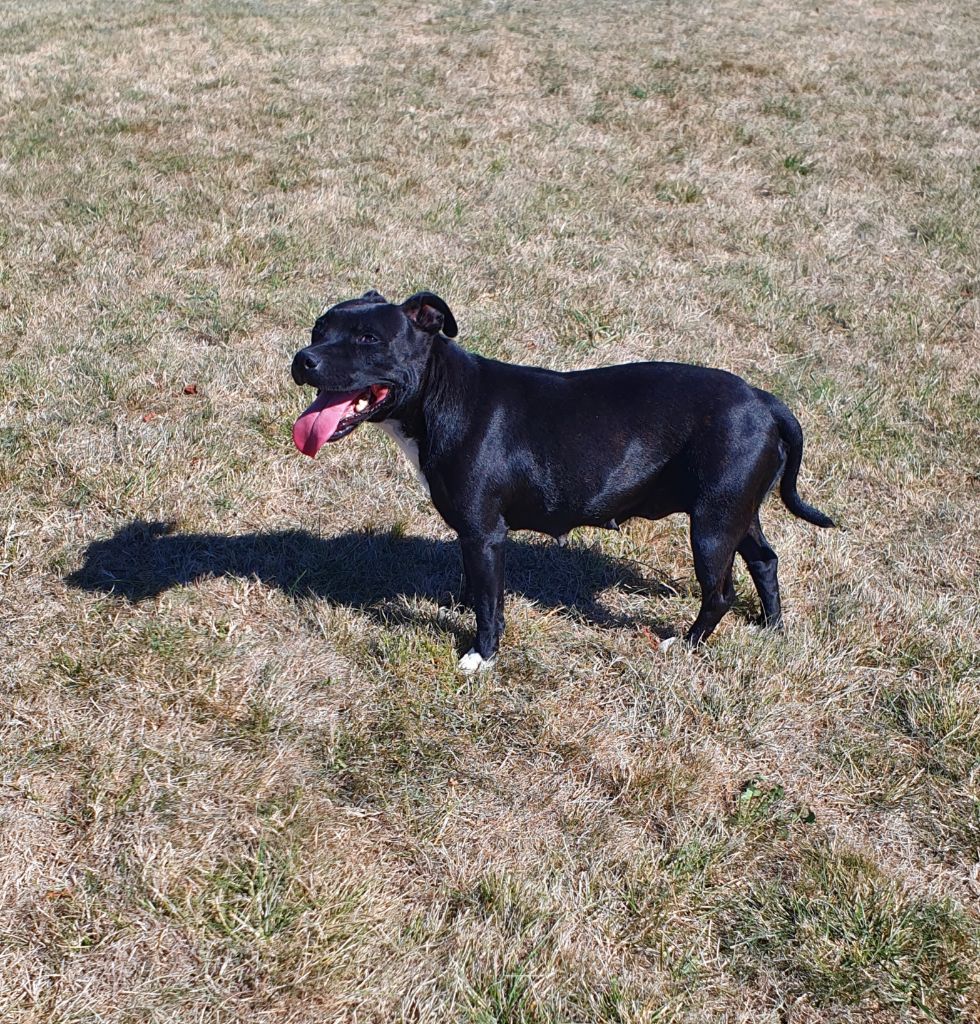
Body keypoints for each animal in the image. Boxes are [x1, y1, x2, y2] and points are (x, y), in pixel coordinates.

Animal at [291, 290, 834, 672]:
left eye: (368, 340)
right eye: (319, 329)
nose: (303, 359)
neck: (439, 393)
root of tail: (765, 401)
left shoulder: (485, 532)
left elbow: (489, 603)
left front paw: (480, 655)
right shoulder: (473, 534)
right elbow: (479, 586)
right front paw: (460, 603)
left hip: (712, 527)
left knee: (719, 593)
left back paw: (684, 643)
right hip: (738, 512)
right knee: (764, 560)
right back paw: (770, 626)